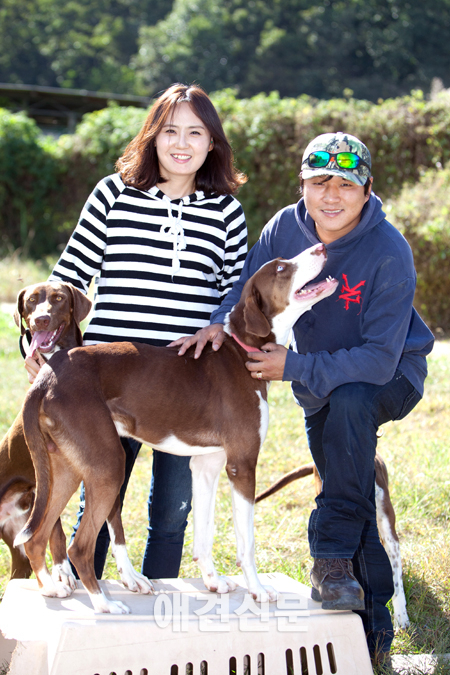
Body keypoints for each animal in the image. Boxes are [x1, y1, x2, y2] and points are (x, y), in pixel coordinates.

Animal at [14, 243, 338, 612]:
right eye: (281, 268)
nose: (321, 246)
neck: (242, 351)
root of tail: (47, 374)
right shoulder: (242, 465)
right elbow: (247, 542)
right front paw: (257, 589)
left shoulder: (207, 465)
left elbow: (204, 533)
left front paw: (213, 581)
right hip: (108, 465)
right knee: (78, 546)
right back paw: (105, 604)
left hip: (65, 468)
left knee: (36, 536)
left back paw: (51, 589)